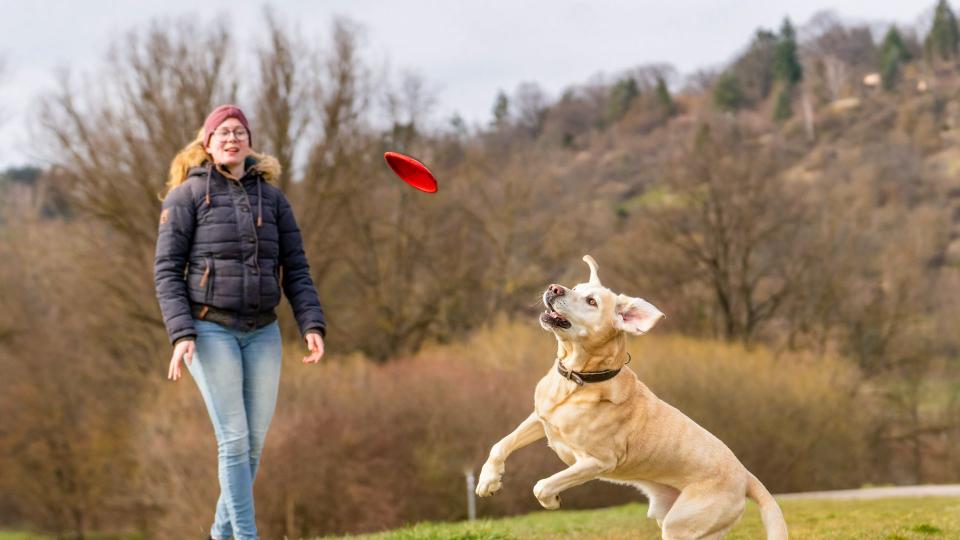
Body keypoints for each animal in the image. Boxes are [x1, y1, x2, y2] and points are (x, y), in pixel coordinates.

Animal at [474, 255, 788, 536]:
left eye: (592, 302)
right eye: (576, 287)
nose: (554, 288)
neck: (579, 380)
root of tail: (746, 476)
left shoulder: (597, 462)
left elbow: (542, 485)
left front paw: (552, 500)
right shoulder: (541, 418)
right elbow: (500, 445)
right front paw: (489, 481)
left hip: (682, 525)